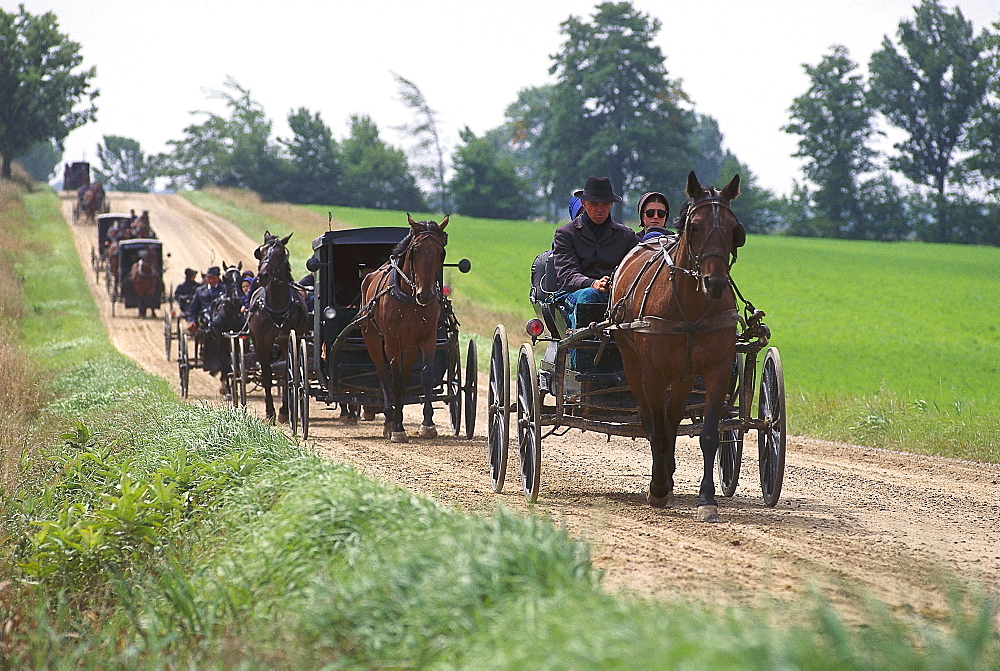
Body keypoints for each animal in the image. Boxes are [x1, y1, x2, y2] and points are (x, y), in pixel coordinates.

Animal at [249, 231, 310, 420]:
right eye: (260, 252)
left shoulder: (287, 341)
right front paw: (270, 412)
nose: (263, 276)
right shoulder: (262, 345)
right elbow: (267, 376)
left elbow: (285, 375)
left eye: (279, 253)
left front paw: (283, 410)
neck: (276, 307)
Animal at [360, 215, 450, 444]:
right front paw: (398, 428)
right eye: (415, 250)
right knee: (384, 374)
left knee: (406, 373)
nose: (425, 295)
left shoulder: (427, 338)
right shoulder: (391, 342)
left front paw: (428, 424)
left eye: (441, 252)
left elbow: (426, 375)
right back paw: (389, 420)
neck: (410, 298)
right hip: (374, 340)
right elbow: (397, 382)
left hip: (408, 346)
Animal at [604, 171, 748, 524]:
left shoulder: (716, 371)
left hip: (683, 376)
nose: (714, 283)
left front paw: (707, 500)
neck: (691, 311)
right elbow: (656, 429)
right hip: (634, 366)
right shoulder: (653, 374)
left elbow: (708, 435)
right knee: (651, 419)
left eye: (733, 229)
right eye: (693, 227)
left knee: (671, 418)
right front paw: (657, 489)